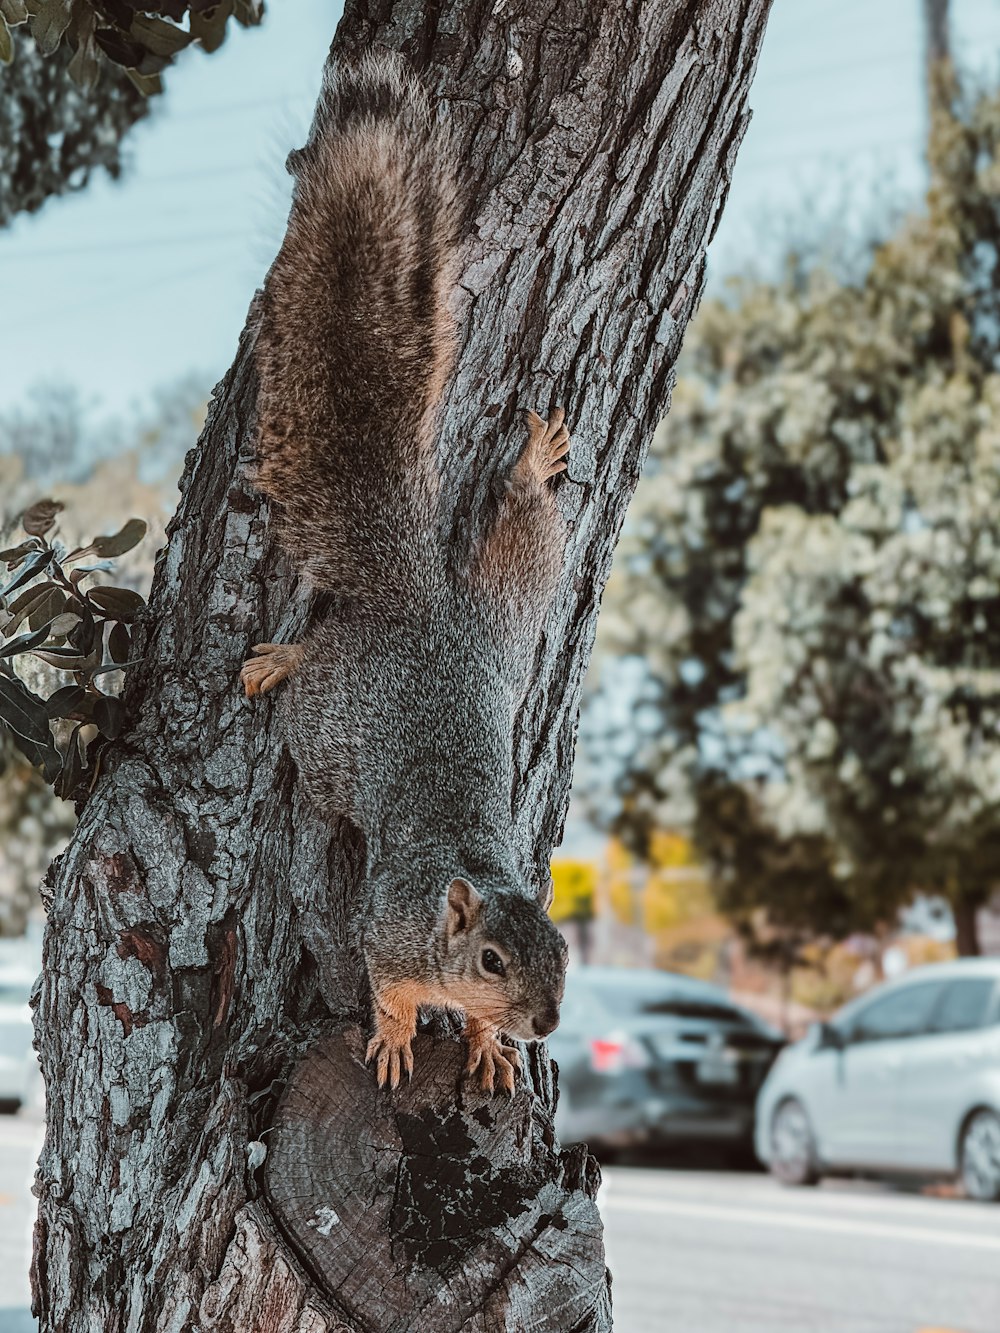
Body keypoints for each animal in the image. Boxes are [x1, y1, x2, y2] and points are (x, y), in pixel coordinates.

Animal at [241, 51, 570, 1093]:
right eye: (492, 959)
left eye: (564, 955)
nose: (546, 1023)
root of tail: (421, 600)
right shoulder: (385, 934)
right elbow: (384, 989)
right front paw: (394, 1037)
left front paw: (488, 1047)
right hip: (329, 734)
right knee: (313, 670)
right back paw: (275, 662)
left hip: (509, 610)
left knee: (528, 538)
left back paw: (532, 466)